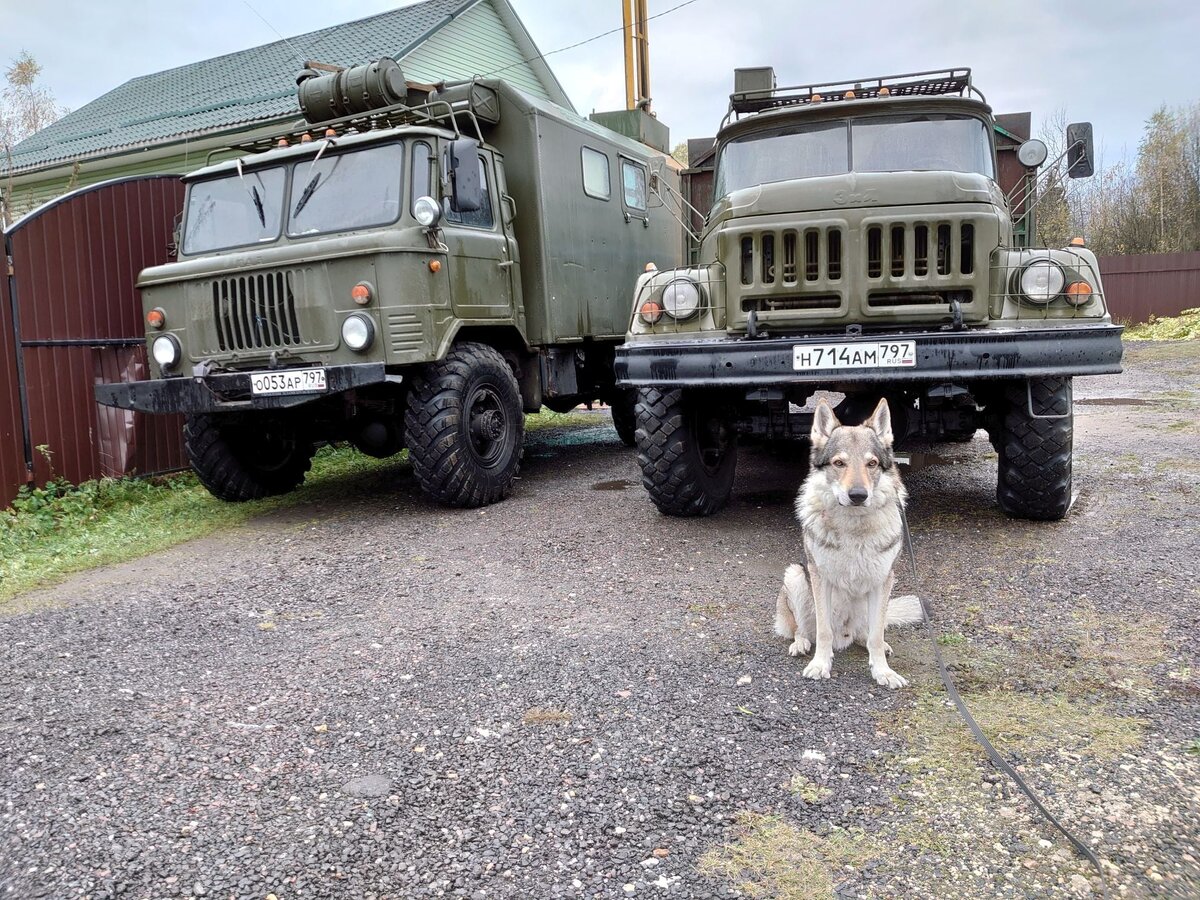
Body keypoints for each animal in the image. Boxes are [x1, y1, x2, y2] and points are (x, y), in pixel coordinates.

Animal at [772, 396, 921, 691]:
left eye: (871, 464)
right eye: (839, 463)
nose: (858, 495)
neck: (855, 528)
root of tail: (846, 635)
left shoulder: (883, 581)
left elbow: (875, 636)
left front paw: (883, 672)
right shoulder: (820, 578)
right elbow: (823, 631)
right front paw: (820, 665)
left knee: (869, 634)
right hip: (796, 575)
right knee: (802, 629)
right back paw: (801, 643)